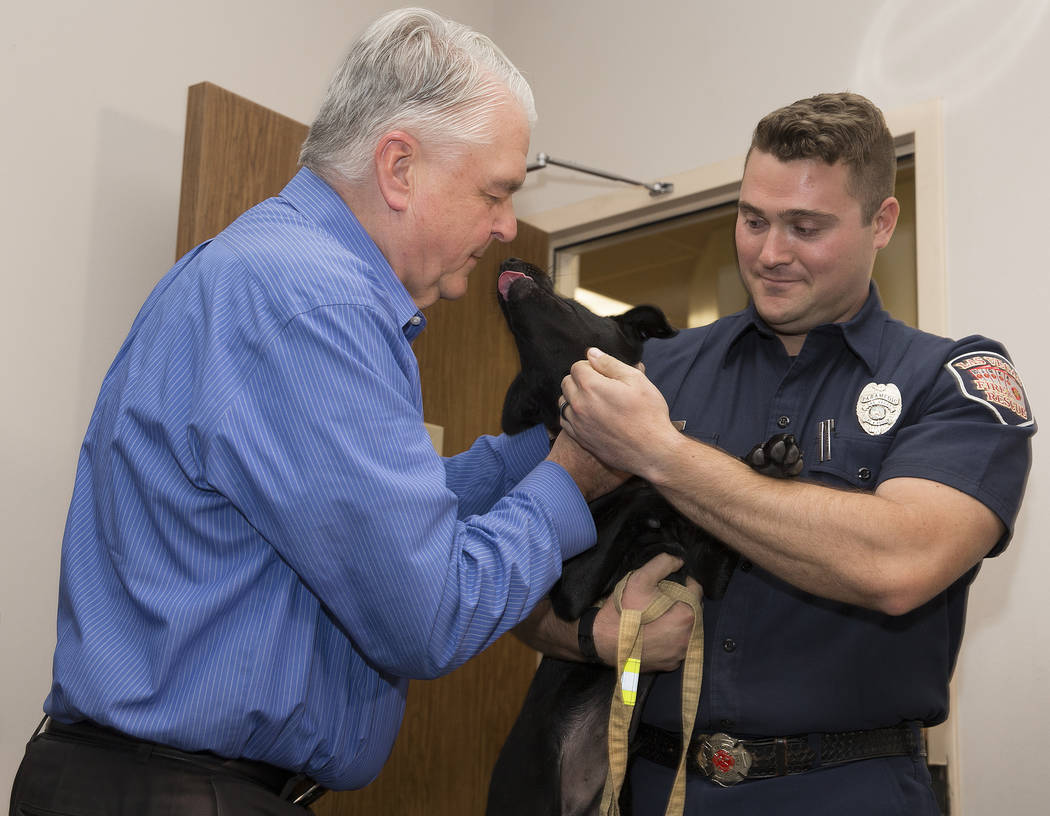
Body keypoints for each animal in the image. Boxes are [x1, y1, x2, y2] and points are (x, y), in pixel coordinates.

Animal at [487, 259, 797, 814]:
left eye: (580, 306)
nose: (507, 261)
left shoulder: (708, 574)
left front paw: (768, 460)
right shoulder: (572, 588)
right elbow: (648, 487)